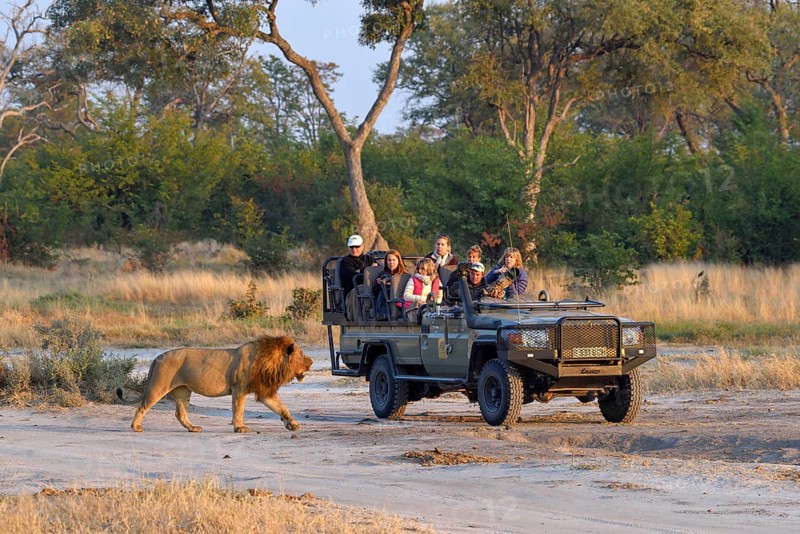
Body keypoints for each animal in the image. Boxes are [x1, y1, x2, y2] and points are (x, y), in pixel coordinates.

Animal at [116, 335, 313, 433]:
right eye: (302, 354)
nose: (311, 362)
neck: (270, 360)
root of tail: (156, 357)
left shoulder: (264, 392)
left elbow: (281, 407)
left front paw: (292, 424)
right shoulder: (239, 389)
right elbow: (239, 410)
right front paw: (239, 428)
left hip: (182, 391)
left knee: (180, 413)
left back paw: (193, 428)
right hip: (159, 386)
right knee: (142, 406)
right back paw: (136, 427)